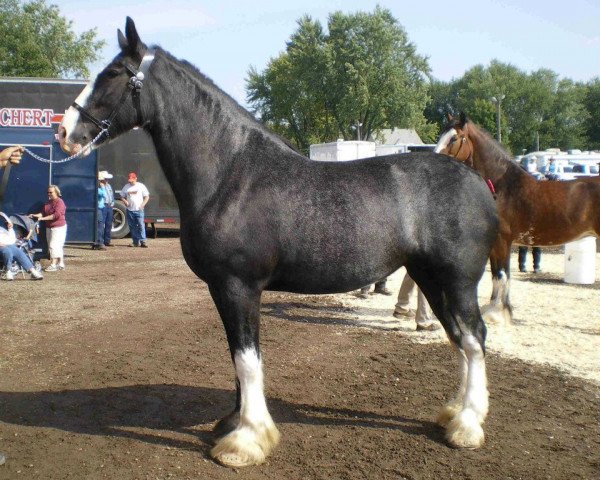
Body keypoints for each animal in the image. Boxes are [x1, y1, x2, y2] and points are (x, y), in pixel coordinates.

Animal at [58, 19, 496, 468]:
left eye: (113, 73)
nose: (63, 131)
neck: (231, 174)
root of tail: (478, 182)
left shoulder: (238, 286)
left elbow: (248, 361)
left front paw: (246, 441)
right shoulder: (223, 289)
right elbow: (236, 355)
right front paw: (233, 423)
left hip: (457, 281)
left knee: (474, 339)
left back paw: (467, 425)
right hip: (430, 278)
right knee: (461, 339)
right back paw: (454, 413)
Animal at [436, 113, 600, 322]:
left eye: (454, 138)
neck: (502, 186)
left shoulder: (503, 240)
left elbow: (502, 274)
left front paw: (500, 314)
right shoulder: (495, 243)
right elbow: (495, 274)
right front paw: (493, 308)